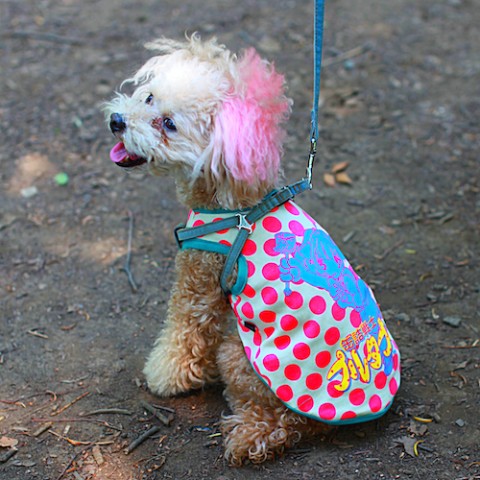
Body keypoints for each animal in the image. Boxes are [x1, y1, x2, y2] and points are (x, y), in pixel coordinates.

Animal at [104, 35, 401, 465]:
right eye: (148, 98)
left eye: (169, 124)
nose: (117, 121)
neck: (235, 203)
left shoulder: (199, 280)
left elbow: (184, 336)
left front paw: (165, 377)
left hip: (241, 360)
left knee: (283, 424)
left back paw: (248, 435)